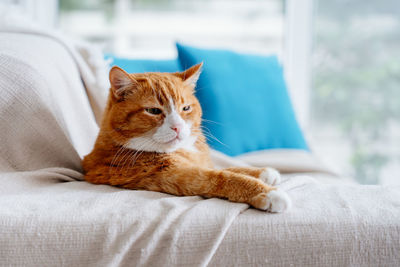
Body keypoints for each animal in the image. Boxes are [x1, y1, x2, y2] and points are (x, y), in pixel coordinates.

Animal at [83, 63, 292, 214]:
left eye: (185, 108)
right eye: (153, 111)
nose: (177, 127)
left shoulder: (201, 163)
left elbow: (225, 168)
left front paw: (262, 172)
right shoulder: (174, 174)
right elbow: (222, 177)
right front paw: (268, 193)